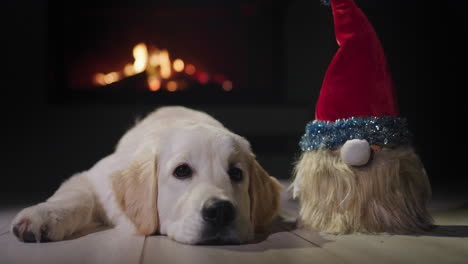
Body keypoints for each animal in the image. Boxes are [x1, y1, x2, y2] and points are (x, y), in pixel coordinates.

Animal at [11, 106, 282, 244]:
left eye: (236, 173)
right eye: (181, 171)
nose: (221, 211)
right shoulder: (93, 176)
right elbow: (76, 197)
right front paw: (42, 215)